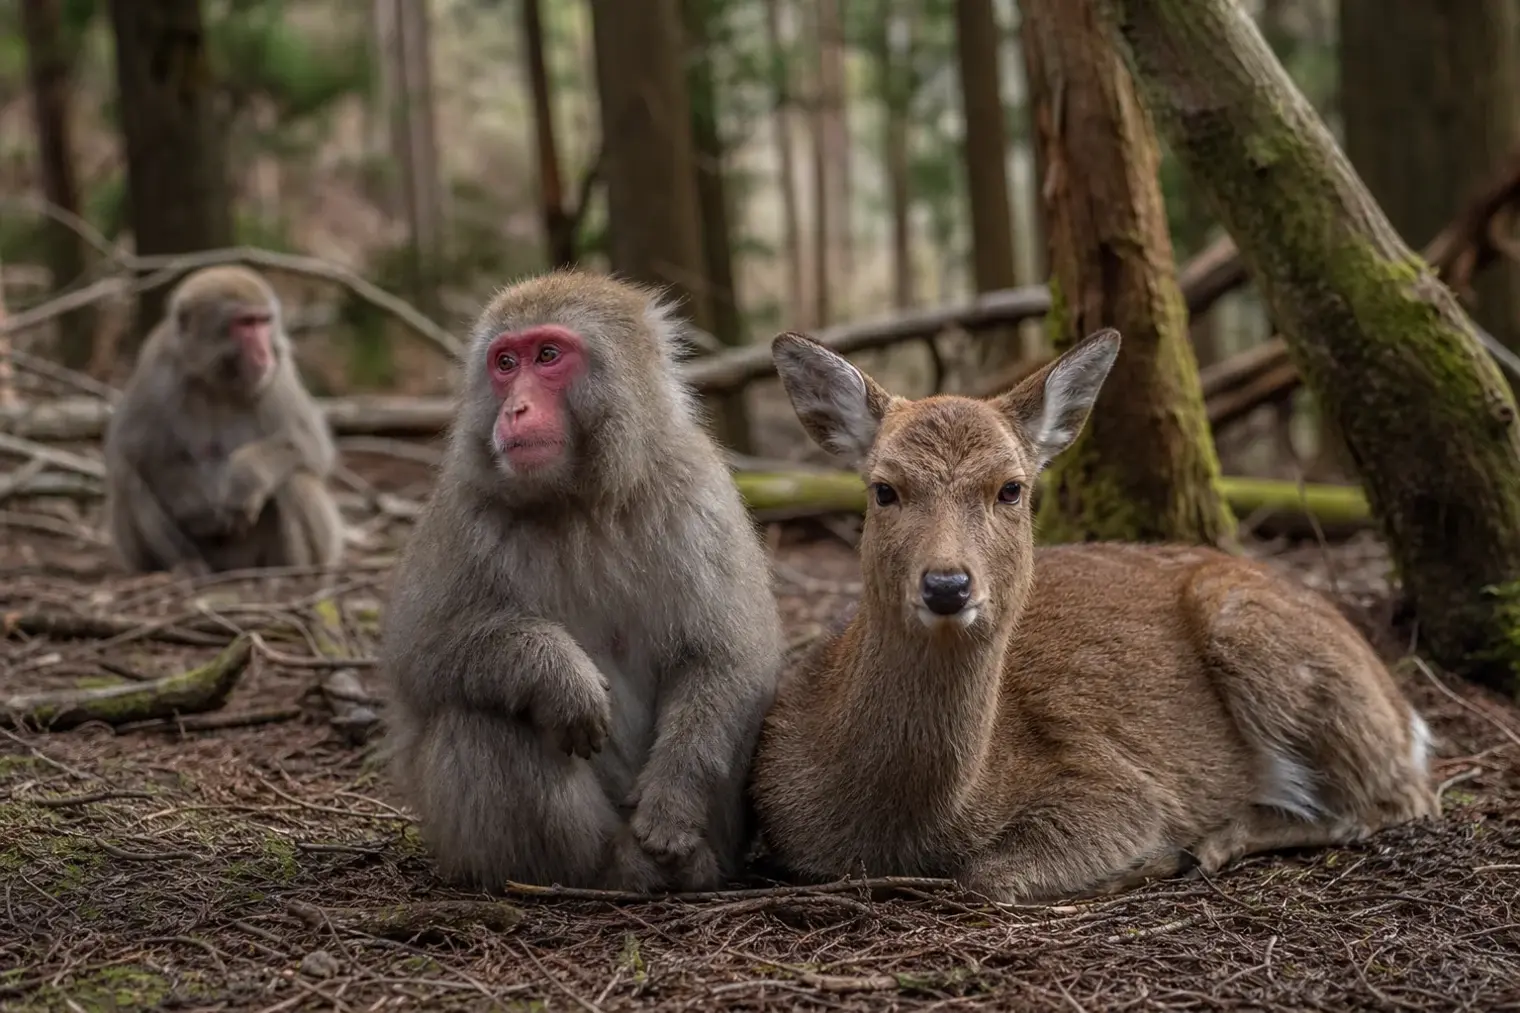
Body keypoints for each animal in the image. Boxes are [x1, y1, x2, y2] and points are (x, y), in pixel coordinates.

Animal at [102, 265, 344, 575]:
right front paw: (195, 508)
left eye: (263, 322)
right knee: (127, 477)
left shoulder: (277, 374)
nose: (263, 352)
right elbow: (135, 451)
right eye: (245, 323)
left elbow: (309, 444)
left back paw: (290, 571)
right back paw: (186, 566)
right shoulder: (156, 373)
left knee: (295, 479)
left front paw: (246, 477)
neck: (216, 380)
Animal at [378, 270, 786, 893]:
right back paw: (607, 869)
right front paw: (559, 676)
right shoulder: (463, 507)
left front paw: (672, 804)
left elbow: (731, 655)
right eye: (504, 362)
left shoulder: (699, 492)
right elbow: (419, 657)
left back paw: (688, 865)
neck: (580, 500)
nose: (515, 409)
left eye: (548, 355)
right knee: (481, 718)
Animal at [749, 327, 1439, 905]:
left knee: (1399, 797)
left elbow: (989, 875)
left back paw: (1213, 842)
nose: (947, 585)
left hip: (1260, 639)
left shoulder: (1114, 785)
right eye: (883, 489)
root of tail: (1405, 710)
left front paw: (1152, 858)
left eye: (1011, 488)